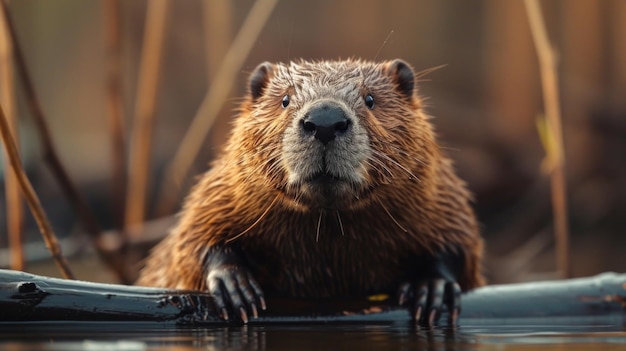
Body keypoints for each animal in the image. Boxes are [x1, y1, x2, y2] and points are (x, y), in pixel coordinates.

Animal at [139, 58, 486, 328]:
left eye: (370, 99)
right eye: (285, 100)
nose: (325, 121)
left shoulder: (439, 192)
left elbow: (460, 239)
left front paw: (434, 289)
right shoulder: (221, 190)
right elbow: (191, 239)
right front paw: (234, 285)